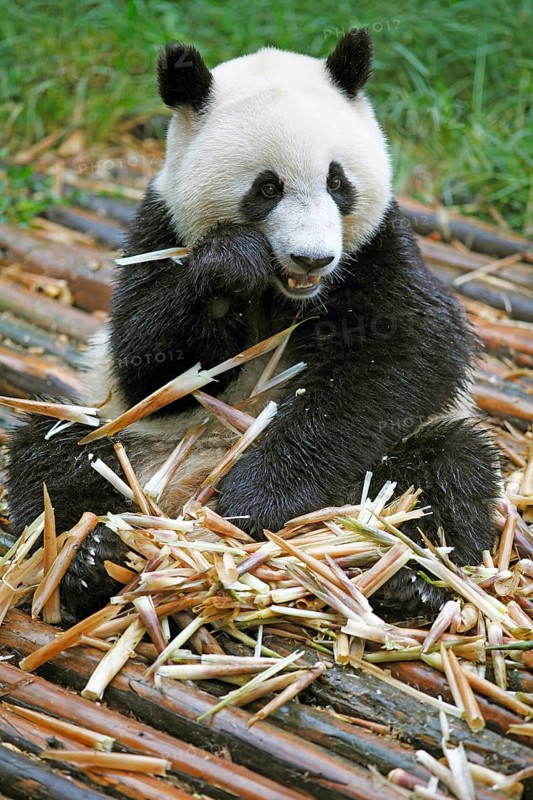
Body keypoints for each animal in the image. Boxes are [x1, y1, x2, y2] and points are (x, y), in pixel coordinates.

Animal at [8, 29, 499, 620]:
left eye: (338, 182)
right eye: (267, 189)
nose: (313, 258)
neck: (287, 295)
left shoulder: (379, 246)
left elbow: (409, 351)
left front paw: (259, 497)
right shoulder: (160, 230)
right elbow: (149, 371)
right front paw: (228, 271)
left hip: (395, 460)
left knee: (449, 467)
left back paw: (413, 583)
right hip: (132, 442)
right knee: (54, 453)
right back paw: (89, 559)